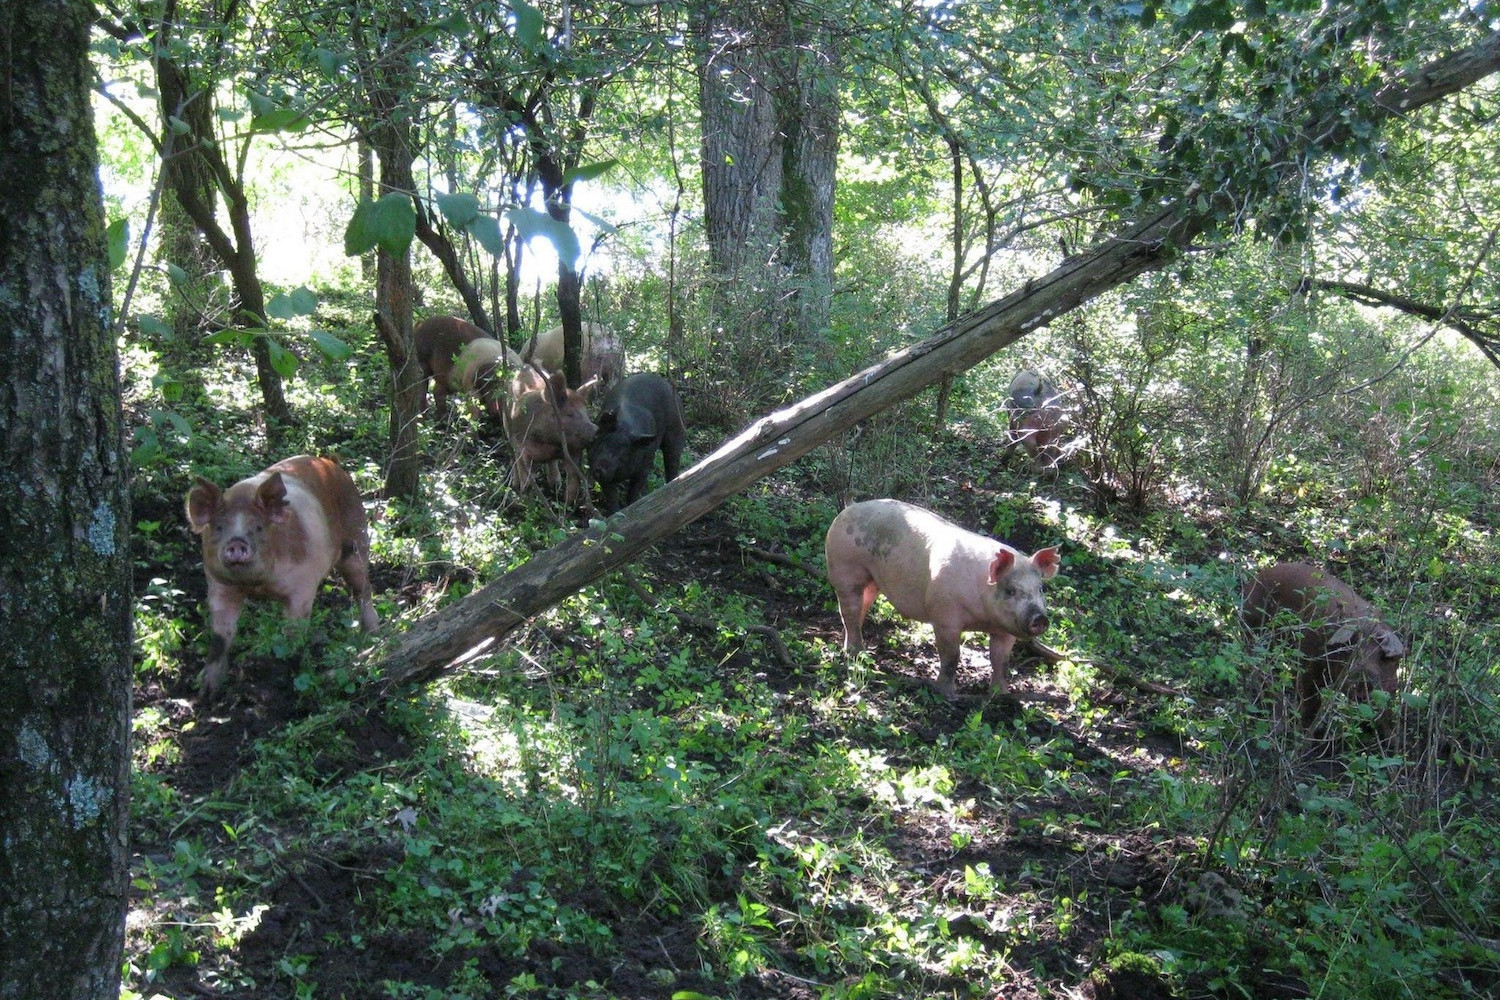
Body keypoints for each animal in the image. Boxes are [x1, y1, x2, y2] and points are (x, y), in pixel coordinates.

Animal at [185, 455, 379, 702]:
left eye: (258, 528)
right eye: (219, 527)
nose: (236, 542)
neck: (257, 585)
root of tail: (332, 463)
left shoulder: (303, 587)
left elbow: (292, 636)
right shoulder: (219, 586)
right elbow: (221, 636)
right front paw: (205, 693)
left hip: (356, 540)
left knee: (363, 588)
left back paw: (370, 636)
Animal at [504, 368, 598, 506]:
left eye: (586, 413)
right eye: (569, 414)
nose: (596, 429)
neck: (548, 441)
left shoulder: (574, 450)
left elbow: (574, 479)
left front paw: (568, 505)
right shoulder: (521, 446)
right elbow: (526, 478)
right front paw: (524, 501)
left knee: (551, 463)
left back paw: (555, 485)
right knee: (513, 459)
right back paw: (515, 484)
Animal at [589, 373, 687, 513]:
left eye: (623, 455)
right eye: (602, 445)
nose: (599, 470)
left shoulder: (645, 464)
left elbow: (634, 491)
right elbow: (611, 495)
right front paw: (615, 512)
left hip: (677, 428)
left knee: (672, 461)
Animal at [824, 499, 1062, 698]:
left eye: (1041, 589)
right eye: (1011, 590)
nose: (1039, 618)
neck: (982, 619)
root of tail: (848, 509)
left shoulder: (1005, 631)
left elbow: (1000, 662)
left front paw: (1001, 696)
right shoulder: (944, 618)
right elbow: (951, 656)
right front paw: (947, 694)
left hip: (872, 582)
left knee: (860, 608)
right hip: (844, 569)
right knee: (848, 611)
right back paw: (856, 653)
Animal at [1242, 562, 1405, 728]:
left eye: (1382, 654)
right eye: (1352, 648)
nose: (1361, 672)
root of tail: (1256, 578)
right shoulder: (1308, 664)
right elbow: (1310, 700)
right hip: (1251, 627)